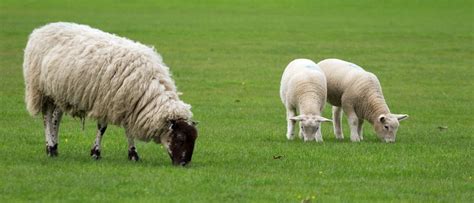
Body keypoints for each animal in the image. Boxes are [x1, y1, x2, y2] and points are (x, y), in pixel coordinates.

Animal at [23, 22, 198, 166]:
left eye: (194, 139)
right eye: (180, 138)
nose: (184, 164)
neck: (148, 89)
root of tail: (41, 29)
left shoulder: (128, 104)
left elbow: (128, 130)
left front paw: (133, 155)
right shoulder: (106, 101)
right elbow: (102, 128)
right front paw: (96, 153)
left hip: (60, 93)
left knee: (56, 119)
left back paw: (55, 147)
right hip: (42, 90)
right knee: (46, 118)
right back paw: (50, 147)